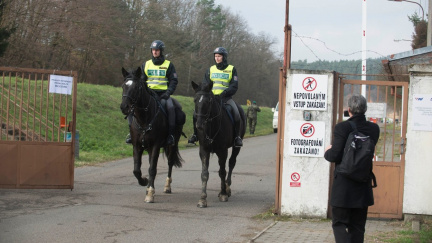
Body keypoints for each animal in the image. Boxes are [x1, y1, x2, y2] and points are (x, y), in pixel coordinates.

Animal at [119, 67, 185, 203]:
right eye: (123, 86)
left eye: (136, 87)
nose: (124, 107)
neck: (144, 118)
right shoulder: (137, 146)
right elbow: (136, 170)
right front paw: (144, 182)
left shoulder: (155, 146)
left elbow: (152, 169)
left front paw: (150, 193)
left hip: (172, 144)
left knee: (170, 163)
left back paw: (167, 187)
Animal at [192, 80, 246, 208]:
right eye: (195, 100)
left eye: (208, 101)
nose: (199, 125)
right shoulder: (204, 150)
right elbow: (204, 173)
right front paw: (202, 199)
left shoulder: (222, 151)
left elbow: (222, 172)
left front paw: (223, 194)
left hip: (236, 147)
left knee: (231, 163)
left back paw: (227, 188)